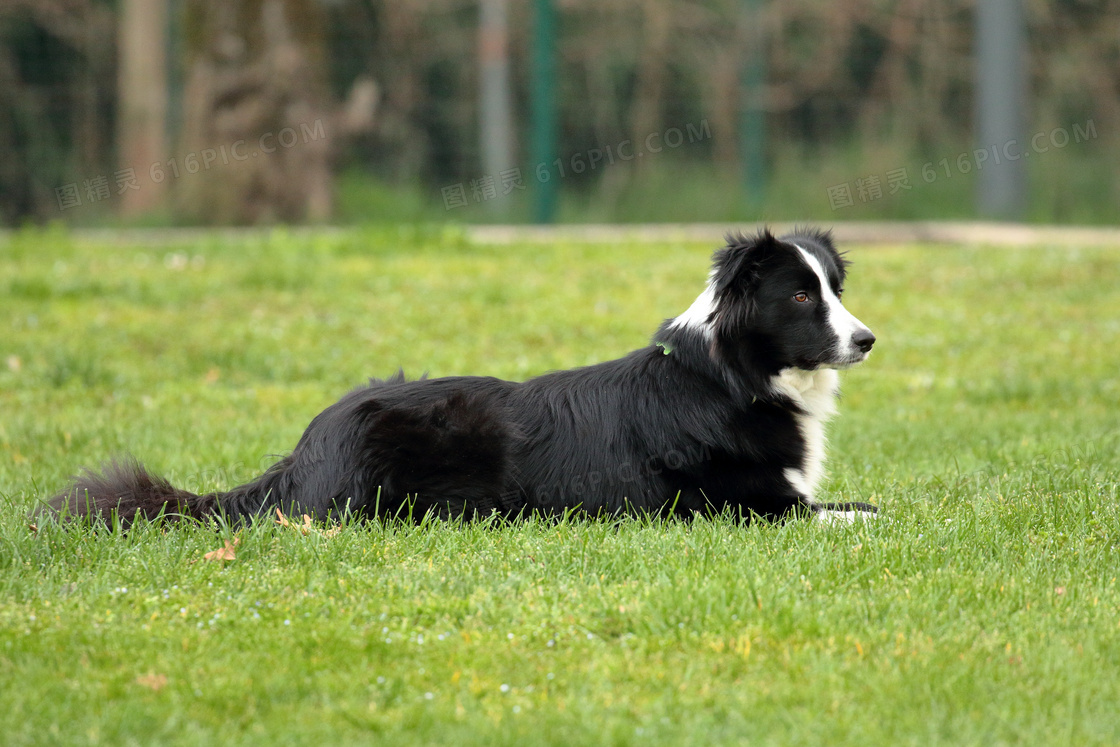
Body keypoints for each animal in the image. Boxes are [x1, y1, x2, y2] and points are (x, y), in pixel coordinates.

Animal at [43, 228, 878, 526]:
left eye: (835, 288)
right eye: (800, 297)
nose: (868, 339)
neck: (730, 378)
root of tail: (305, 449)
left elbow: (866, 503)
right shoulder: (738, 506)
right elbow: (849, 516)